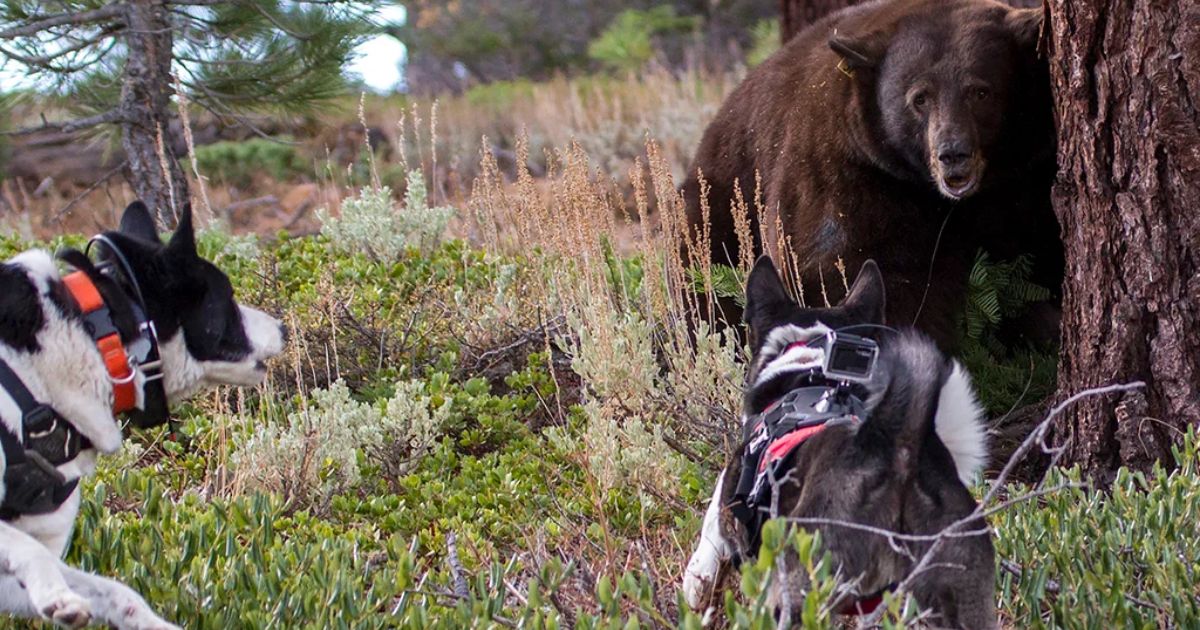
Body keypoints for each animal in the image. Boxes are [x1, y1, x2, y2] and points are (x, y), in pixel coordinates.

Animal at [681, 0, 1065, 348]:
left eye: (980, 91)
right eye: (920, 98)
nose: (952, 154)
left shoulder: (1030, 172)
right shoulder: (850, 171)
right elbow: (843, 266)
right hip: (721, 206)